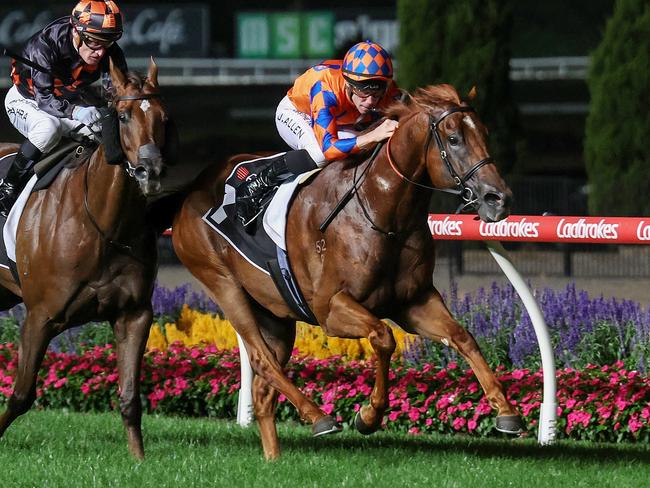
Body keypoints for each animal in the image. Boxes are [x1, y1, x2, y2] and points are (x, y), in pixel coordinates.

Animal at [0, 59, 171, 460]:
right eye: (123, 116)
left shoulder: (133, 314)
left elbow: (130, 398)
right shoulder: (40, 316)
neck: (101, 224)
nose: (151, 171)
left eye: (165, 118)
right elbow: (21, 394)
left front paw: (138, 459)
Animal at [171, 84, 520, 458]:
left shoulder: (414, 301)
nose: (499, 198)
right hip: (224, 285)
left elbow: (462, 336)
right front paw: (368, 415)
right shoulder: (330, 308)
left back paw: (273, 458)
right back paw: (319, 417)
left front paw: (507, 412)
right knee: (261, 360)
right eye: (454, 138)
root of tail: (194, 186)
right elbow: (383, 336)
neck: (384, 214)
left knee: (264, 390)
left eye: (484, 133)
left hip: (275, 314)